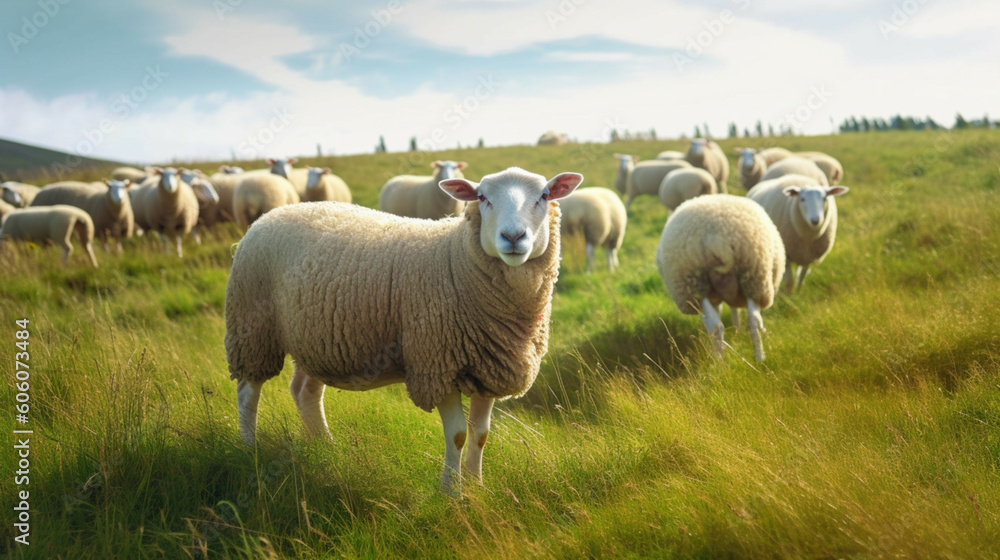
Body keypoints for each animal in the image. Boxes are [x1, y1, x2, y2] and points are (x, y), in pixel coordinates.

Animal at [226, 166, 583, 494]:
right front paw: (452, 493)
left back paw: (324, 447)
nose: (513, 238)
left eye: (544, 196)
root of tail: (268, 216)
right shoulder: (436, 364)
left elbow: (481, 435)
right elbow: (458, 435)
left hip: (317, 340)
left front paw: (477, 486)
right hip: (251, 326)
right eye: (482, 197)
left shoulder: (490, 369)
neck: (455, 258)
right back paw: (250, 448)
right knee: (247, 392)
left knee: (305, 392)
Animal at [655, 194, 785, 362]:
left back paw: (720, 362)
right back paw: (758, 358)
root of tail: (717, 239)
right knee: (752, 320)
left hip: (698, 285)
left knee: (716, 326)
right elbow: (734, 308)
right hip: (752, 277)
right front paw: (737, 328)